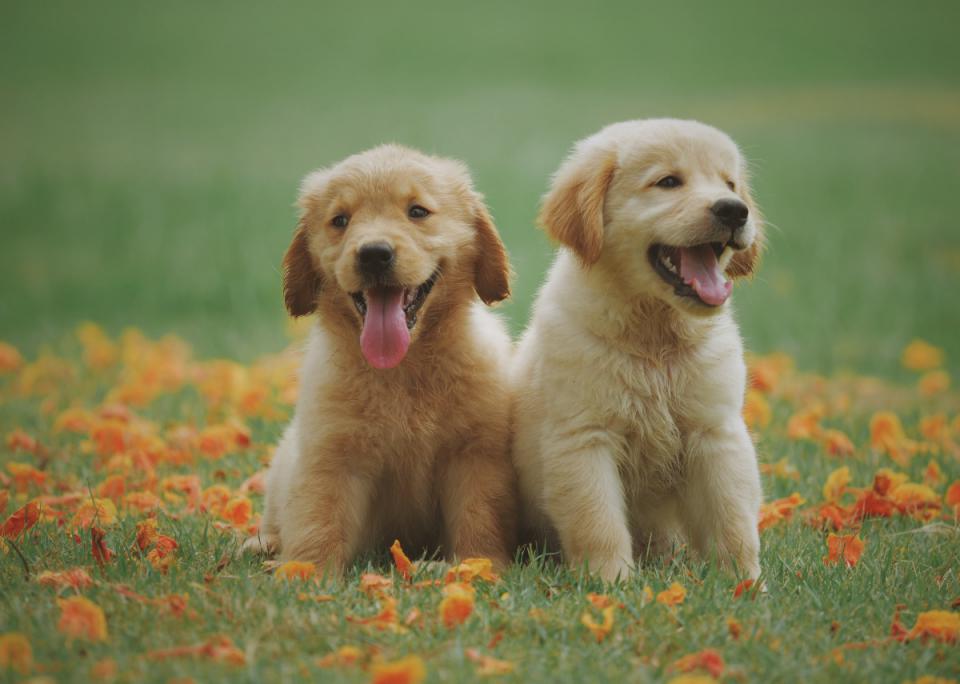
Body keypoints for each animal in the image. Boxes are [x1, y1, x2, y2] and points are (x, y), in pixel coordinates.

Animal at [246, 144, 516, 572]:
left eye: (417, 211)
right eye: (340, 220)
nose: (374, 254)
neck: (402, 369)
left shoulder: (475, 454)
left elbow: (479, 515)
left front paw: (478, 565)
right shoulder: (331, 453)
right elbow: (317, 517)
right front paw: (304, 571)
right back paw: (263, 545)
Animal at [512, 120, 768, 580]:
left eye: (730, 183)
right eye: (667, 182)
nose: (735, 210)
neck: (654, 339)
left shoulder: (716, 432)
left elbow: (733, 518)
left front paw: (745, 582)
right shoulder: (584, 438)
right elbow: (598, 521)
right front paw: (610, 582)